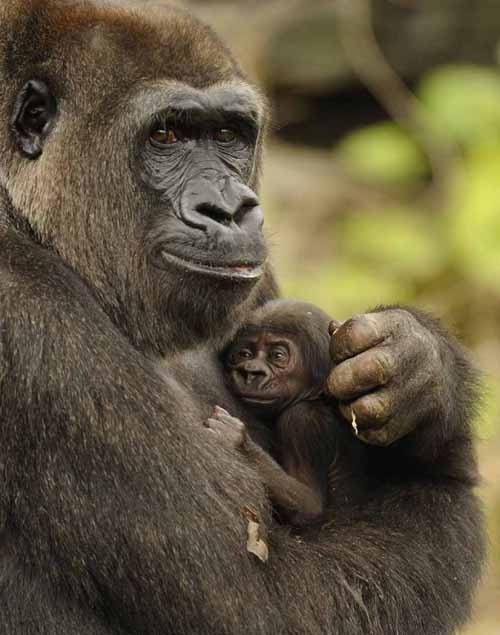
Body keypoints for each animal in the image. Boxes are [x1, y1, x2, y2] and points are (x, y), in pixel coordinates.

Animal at [207, 300, 348, 528]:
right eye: (245, 354)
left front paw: (239, 443)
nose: (251, 372)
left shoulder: (300, 420)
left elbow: (310, 506)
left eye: (278, 356)